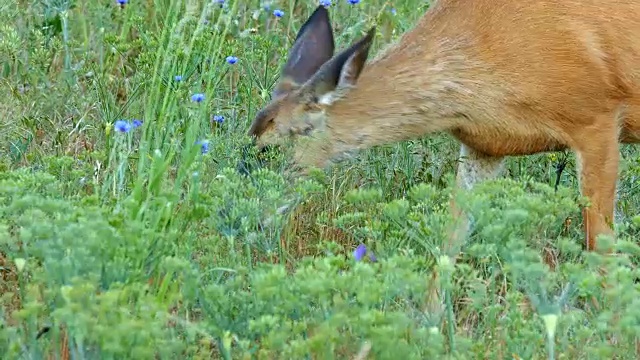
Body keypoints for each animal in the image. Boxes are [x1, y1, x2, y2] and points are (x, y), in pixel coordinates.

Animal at [246, 0, 640, 264]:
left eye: (269, 148)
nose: (246, 218)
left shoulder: (596, 118)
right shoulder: (484, 146)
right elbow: (448, 247)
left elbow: (601, 247)